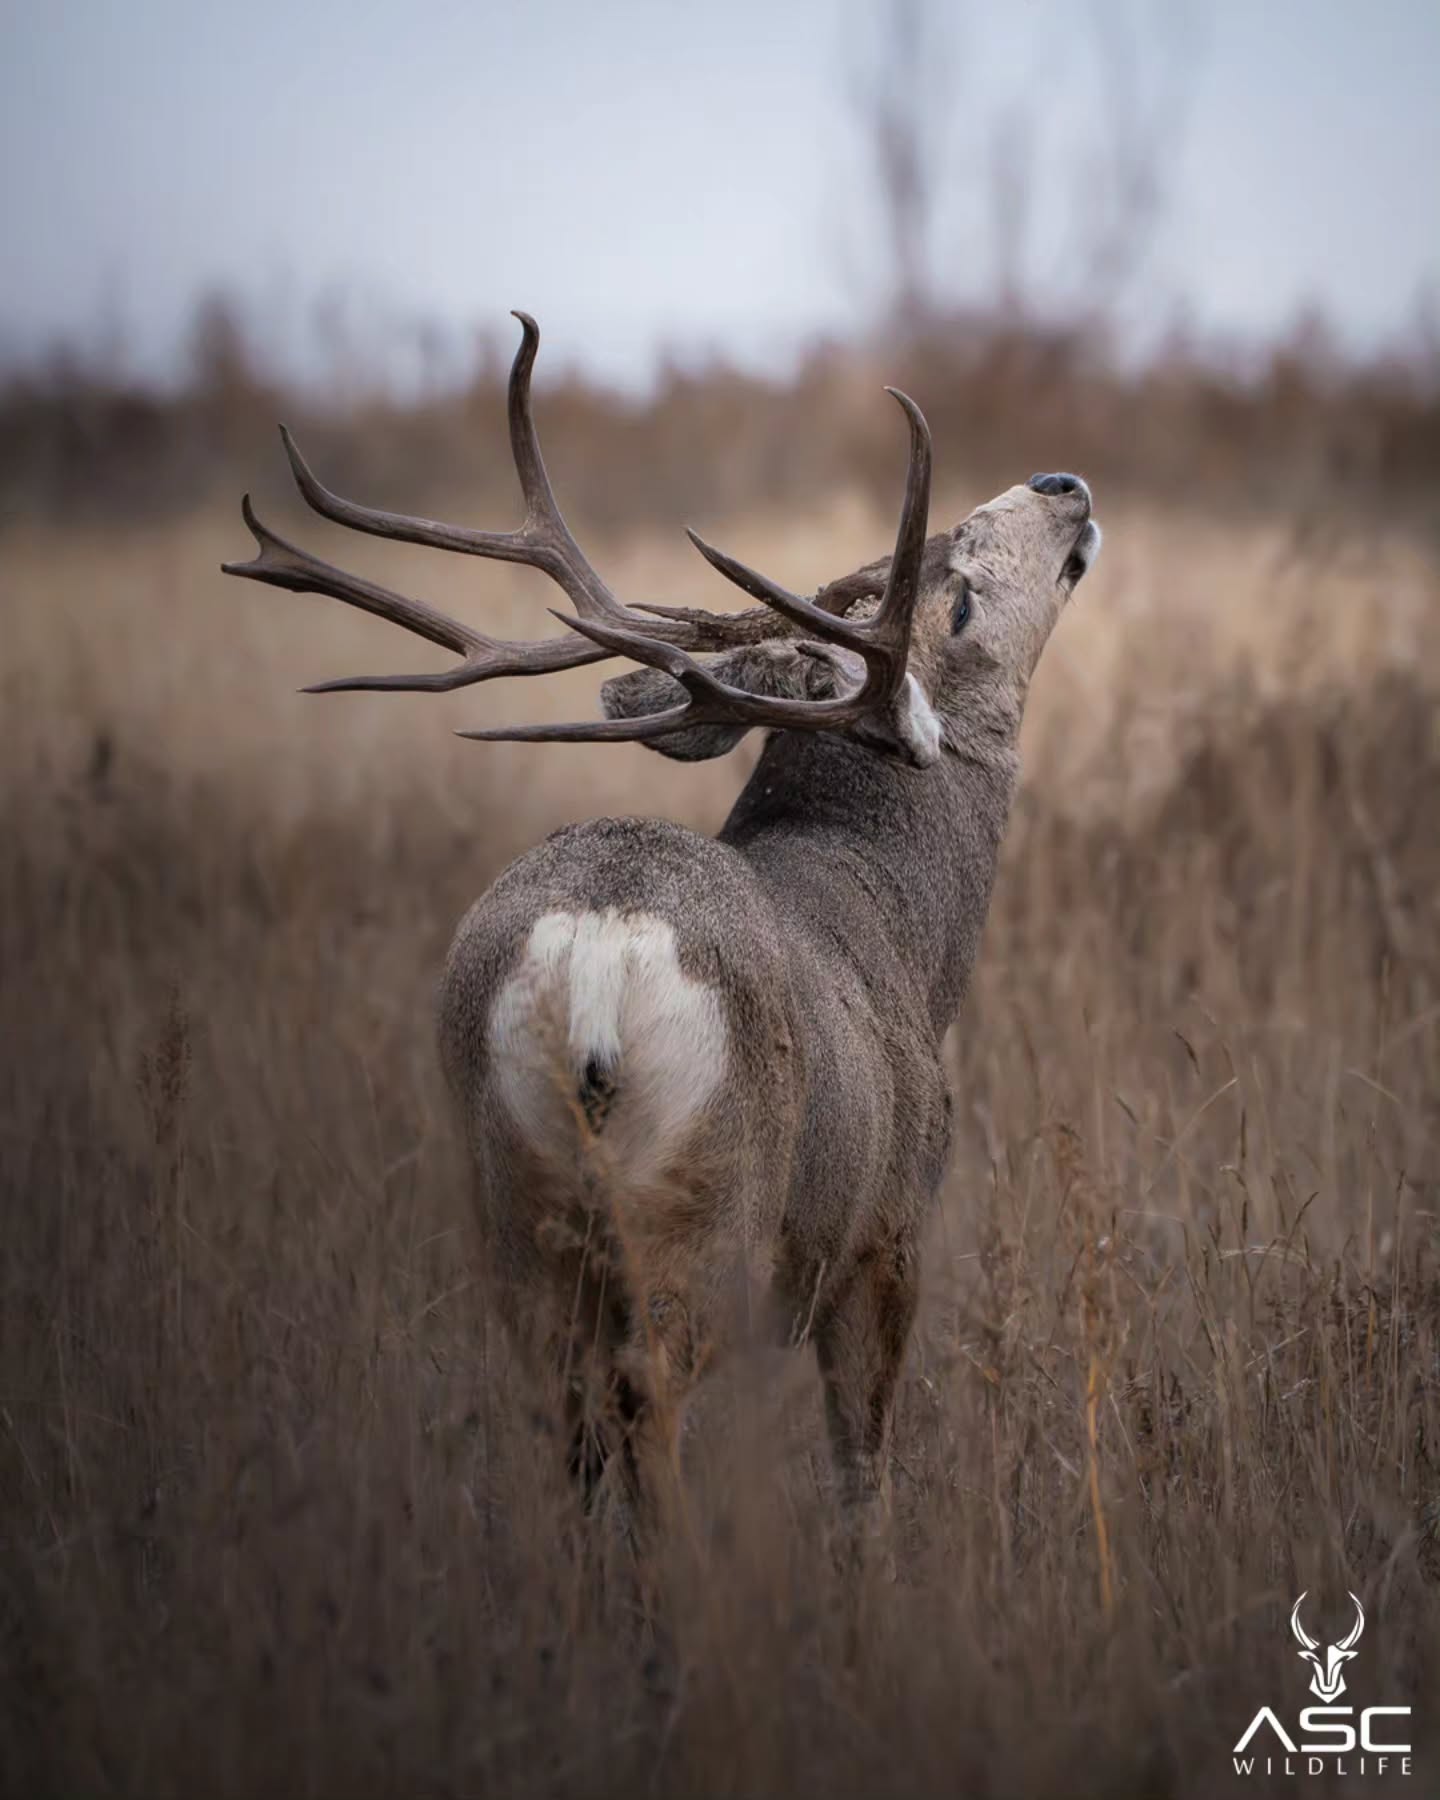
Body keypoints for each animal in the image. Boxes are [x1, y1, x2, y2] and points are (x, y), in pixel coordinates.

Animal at [223, 312, 1101, 1542]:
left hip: (513, 1205)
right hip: (707, 1212)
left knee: (572, 1420)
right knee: (652, 1417)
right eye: (961, 594)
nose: (1063, 484)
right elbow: (862, 1476)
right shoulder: (884, 1231)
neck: (904, 930)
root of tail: (598, 948)